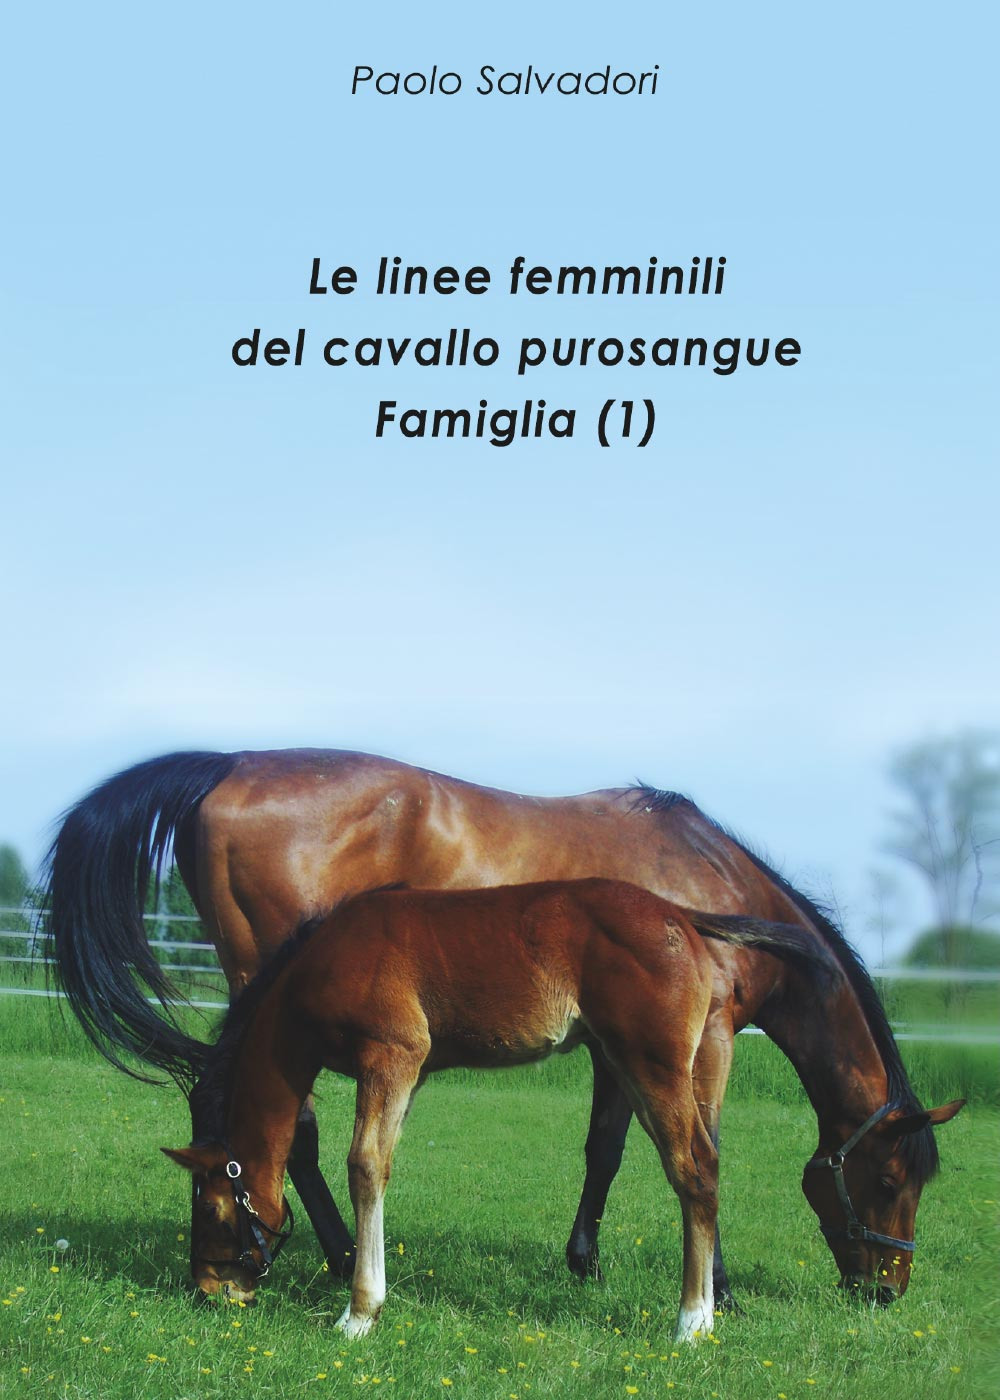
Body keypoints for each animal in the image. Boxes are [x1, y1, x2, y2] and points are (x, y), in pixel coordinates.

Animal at [44, 747, 930, 1305]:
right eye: (892, 1181)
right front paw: (716, 1288)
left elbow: (607, 1151)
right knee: (278, 1125)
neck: (707, 888)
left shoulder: (618, 1047)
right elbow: (677, 1148)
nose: (885, 1291)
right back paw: (340, 1257)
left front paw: (588, 1263)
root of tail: (228, 764)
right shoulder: (702, 1043)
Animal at [163, 879, 963, 1341]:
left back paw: (691, 1322)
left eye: (210, 1207)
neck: (319, 963)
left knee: (694, 1169)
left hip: (650, 1062)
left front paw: (359, 1312)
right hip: (659, 1063)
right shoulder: (409, 1073)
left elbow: (365, 1166)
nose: (206, 1292)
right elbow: (380, 1162)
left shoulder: (389, 1055)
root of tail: (682, 917)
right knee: (703, 1162)